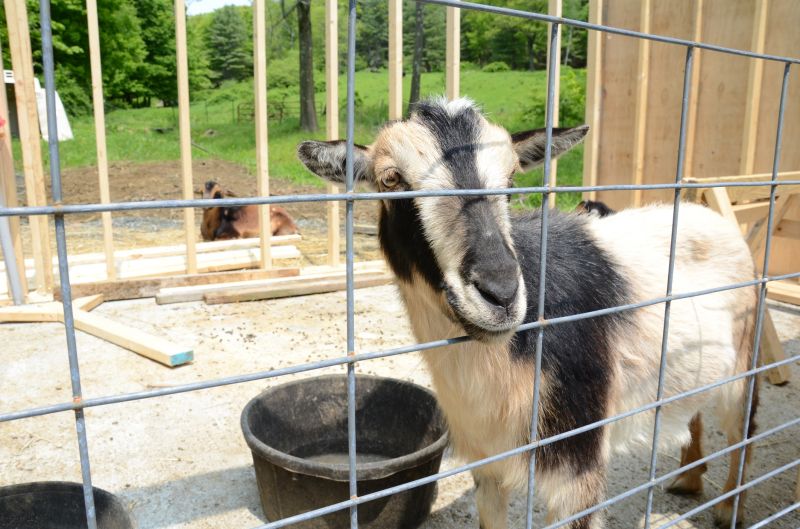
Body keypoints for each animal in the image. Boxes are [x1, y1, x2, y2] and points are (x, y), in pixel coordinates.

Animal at [297, 97, 758, 529]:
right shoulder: (487, 461)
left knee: (743, 428)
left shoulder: (578, 460)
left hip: (744, 358)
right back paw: (689, 481)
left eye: (511, 180)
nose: (500, 293)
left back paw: (729, 509)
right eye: (391, 180)